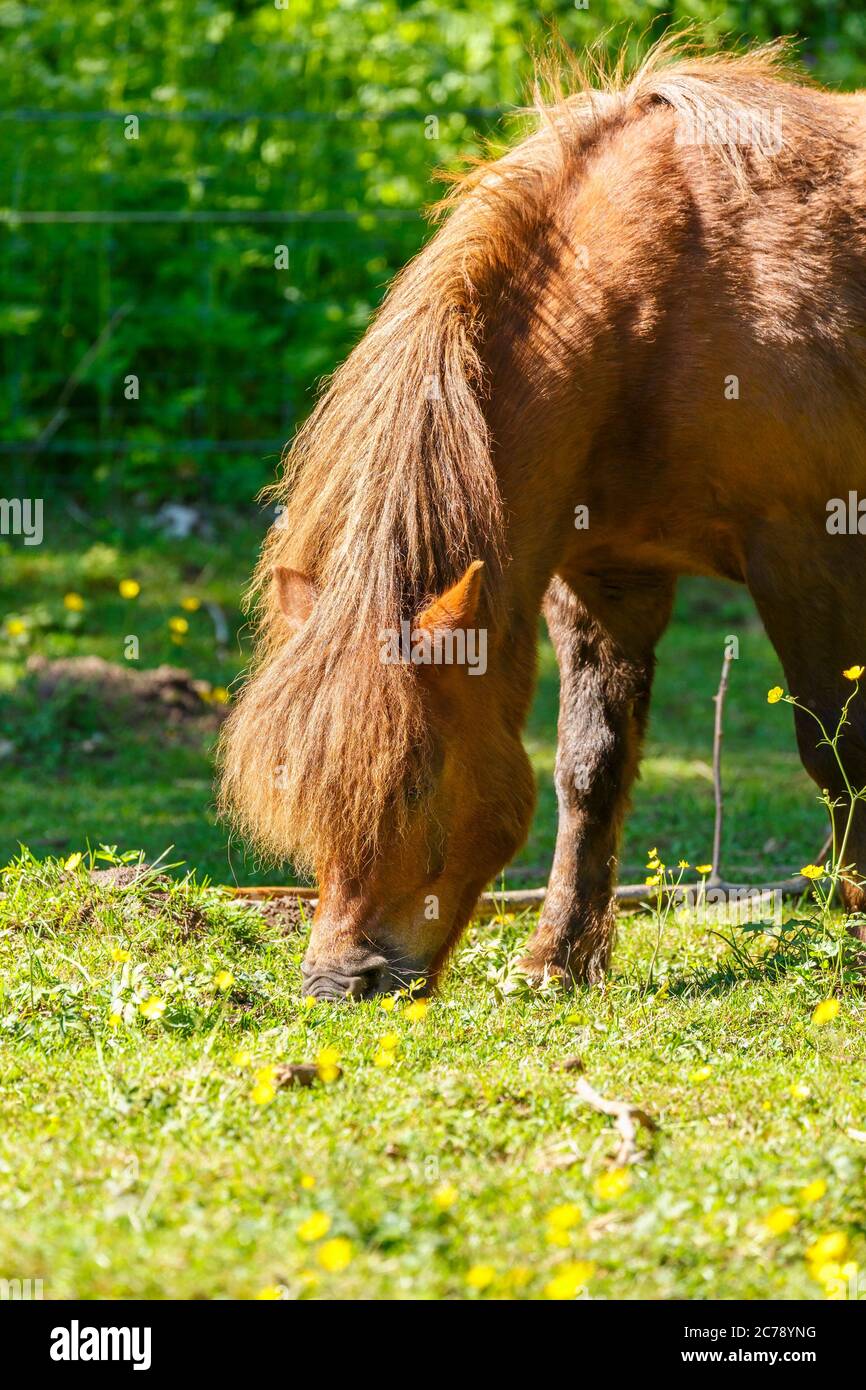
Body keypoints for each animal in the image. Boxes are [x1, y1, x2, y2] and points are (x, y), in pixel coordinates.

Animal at [220, 39, 866, 1000]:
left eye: (416, 784)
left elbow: (836, 748)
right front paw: (557, 958)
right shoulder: (605, 577)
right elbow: (588, 766)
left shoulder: (806, 553)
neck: (672, 296)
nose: (341, 981)